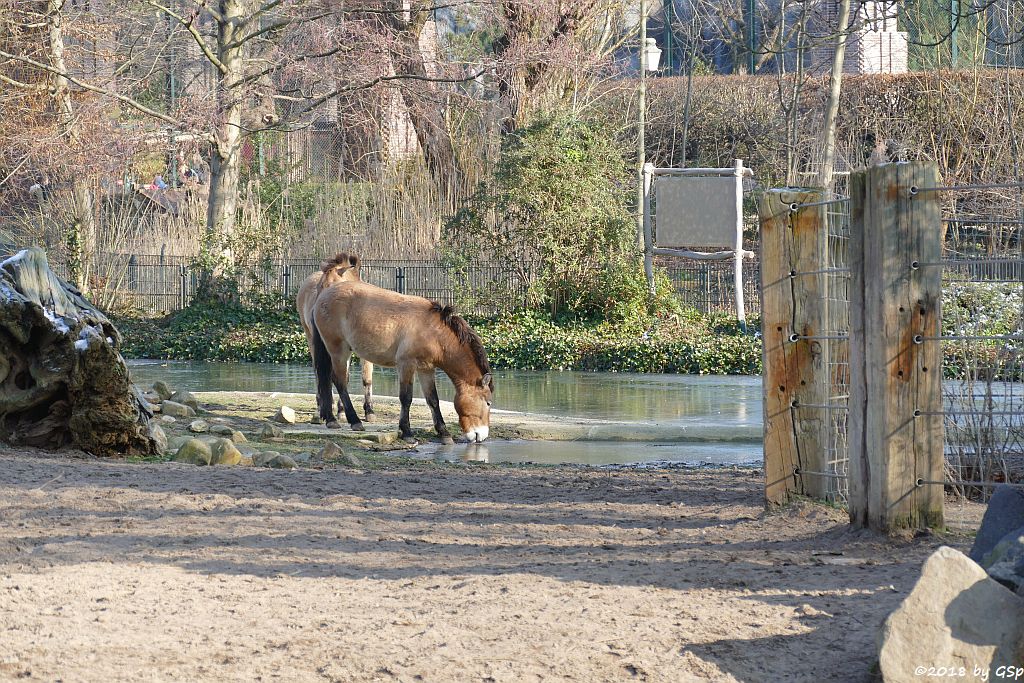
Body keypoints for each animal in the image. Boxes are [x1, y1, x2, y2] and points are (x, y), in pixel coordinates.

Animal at [294, 250, 374, 421]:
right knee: (319, 372)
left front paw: (368, 411)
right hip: (312, 340)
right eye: (319, 288)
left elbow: (365, 378)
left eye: (332, 287)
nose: (315, 315)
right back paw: (321, 409)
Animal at [309, 282, 493, 446]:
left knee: (331, 379)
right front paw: (407, 432)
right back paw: (353, 421)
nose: (482, 435)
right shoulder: (406, 365)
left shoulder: (426, 369)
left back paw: (331, 418)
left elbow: (433, 400)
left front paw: (444, 433)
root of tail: (321, 297)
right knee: (339, 381)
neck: (434, 332)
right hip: (338, 351)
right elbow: (406, 398)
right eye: (488, 403)